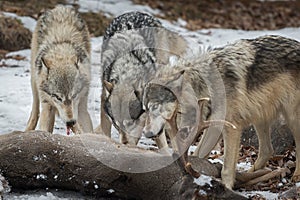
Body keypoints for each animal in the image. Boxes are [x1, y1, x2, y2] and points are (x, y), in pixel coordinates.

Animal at [26, 5, 93, 134]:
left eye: (74, 95)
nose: (70, 122)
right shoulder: (47, 105)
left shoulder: (82, 106)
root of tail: (59, 7)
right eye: (58, 97)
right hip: (34, 84)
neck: (61, 52)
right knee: (35, 111)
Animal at [95, 11, 188, 145]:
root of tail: (137, 12)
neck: (127, 72)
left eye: (130, 123)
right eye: (117, 125)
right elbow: (106, 123)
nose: (123, 143)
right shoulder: (104, 93)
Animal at [141, 35, 300, 190]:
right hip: (259, 118)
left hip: (292, 119)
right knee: (267, 150)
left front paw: (227, 187)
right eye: (145, 109)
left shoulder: (232, 128)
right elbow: (198, 156)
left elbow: (226, 170)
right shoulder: (213, 127)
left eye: (155, 106)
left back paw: (296, 176)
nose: (147, 133)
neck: (203, 87)